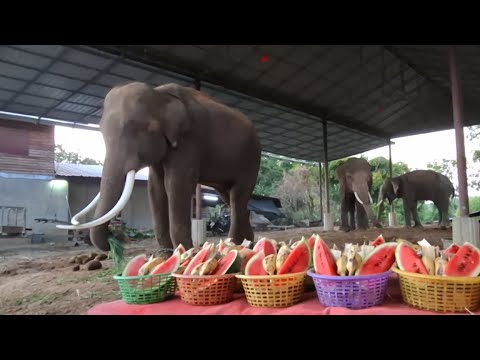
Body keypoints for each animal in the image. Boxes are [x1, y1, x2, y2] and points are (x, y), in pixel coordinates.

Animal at [58, 82, 264, 252]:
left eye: (137, 129)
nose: (113, 238)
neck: (159, 95)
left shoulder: (189, 141)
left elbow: (176, 184)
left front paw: (186, 252)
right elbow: (155, 188)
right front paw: (167, 253)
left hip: (251, 158)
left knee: (237, 196)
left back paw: (235, 244)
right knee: (231, 198)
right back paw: (248, 243)